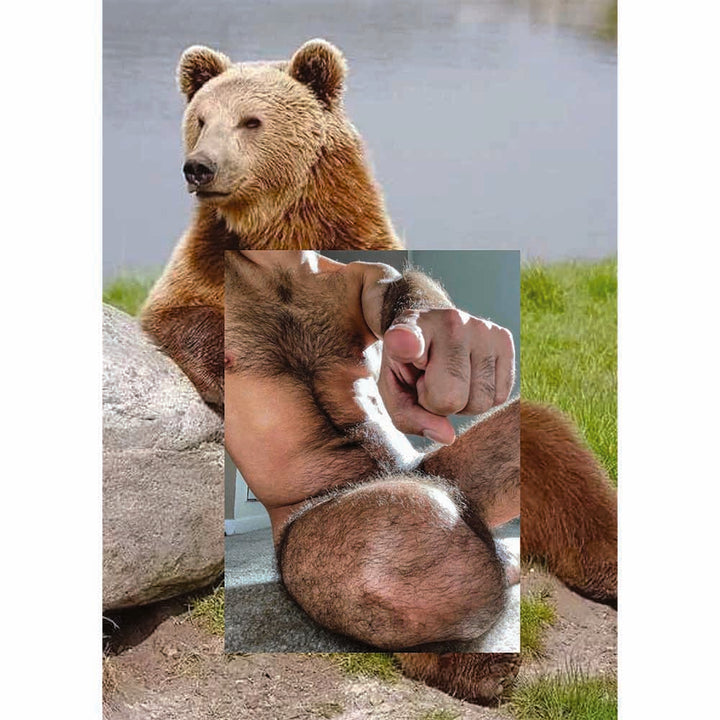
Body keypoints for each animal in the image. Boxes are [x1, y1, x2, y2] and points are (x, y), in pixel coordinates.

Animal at [139, 38, 616, 705]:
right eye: (200, 119)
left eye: (250, 121)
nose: (198, 168)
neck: (272, 230)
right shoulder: (203, 266)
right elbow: (184, 318)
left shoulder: (341, 251)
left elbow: (391, 286)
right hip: (334, 525)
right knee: (389, 564)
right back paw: (475, 661)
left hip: (453, 465)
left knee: (548, 444)